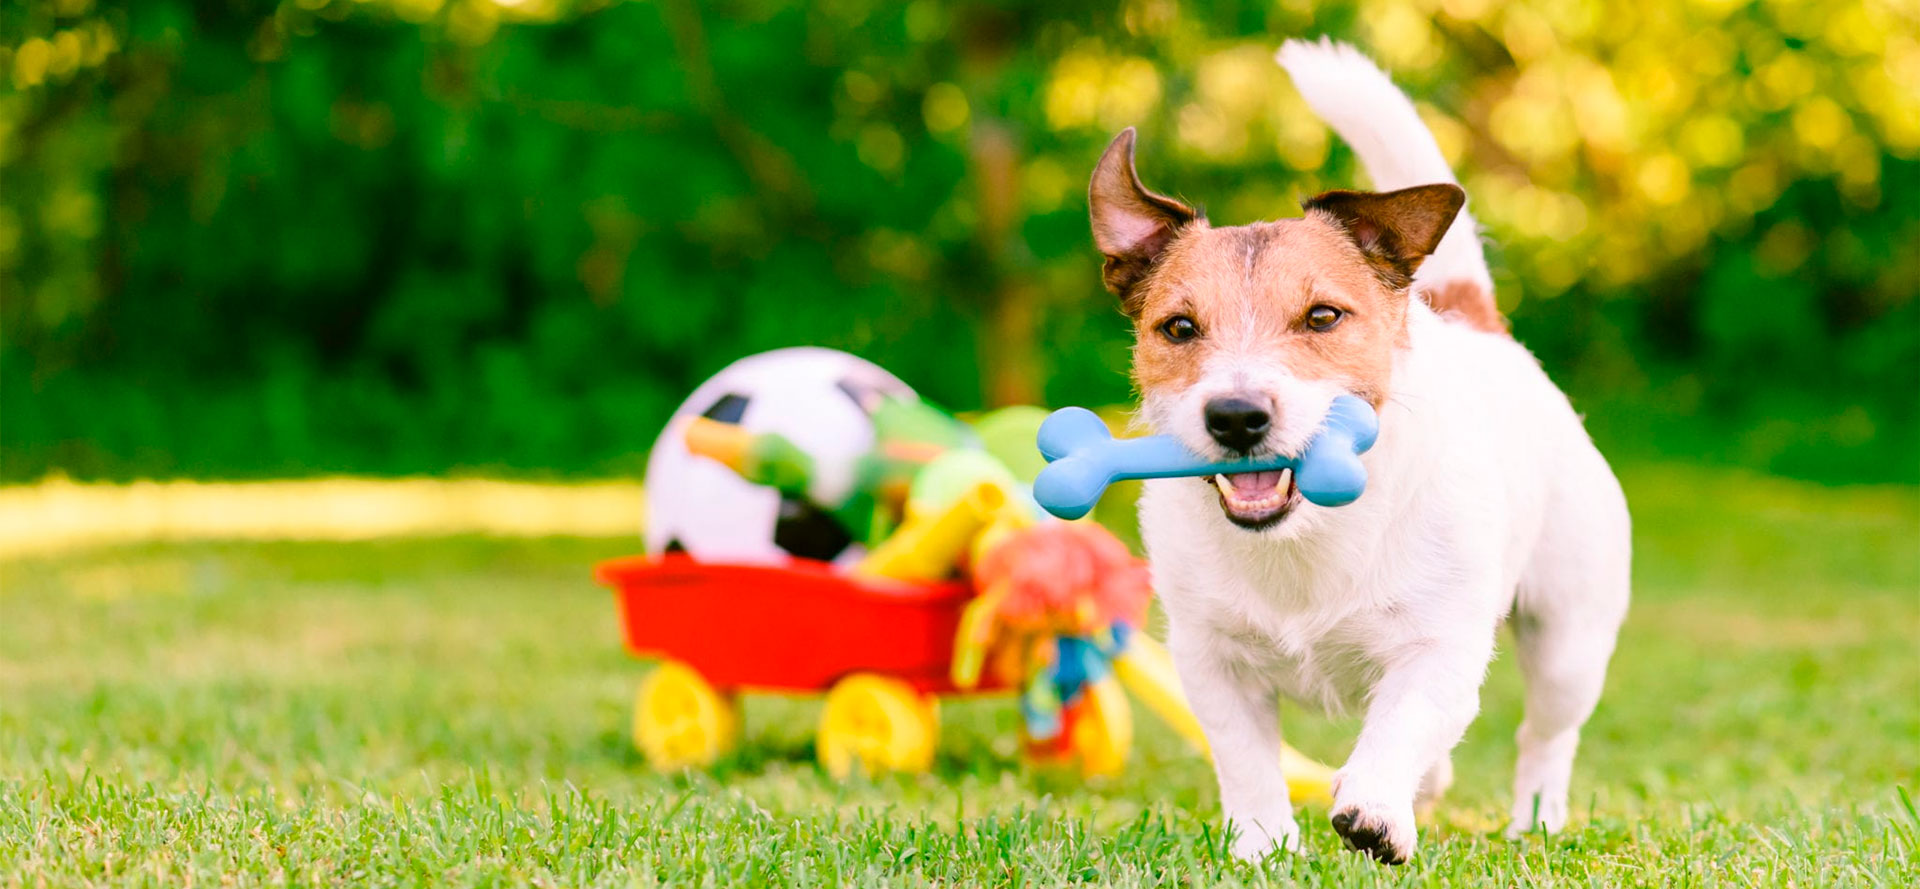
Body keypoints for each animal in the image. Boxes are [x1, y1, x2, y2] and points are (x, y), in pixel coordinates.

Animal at [1090, 40, 1628, 864]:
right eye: (1178, 328)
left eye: (1322, 316)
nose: (1237, 417)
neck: (1307, 536)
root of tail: (1478, 325)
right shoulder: (1212, 663)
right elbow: (1247, 761)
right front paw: (1263, 847)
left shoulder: (1438, 648)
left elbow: (1402, 724)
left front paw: (1375, 808)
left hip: (1569, 636)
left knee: (1544, 736)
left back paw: (1532, 819)